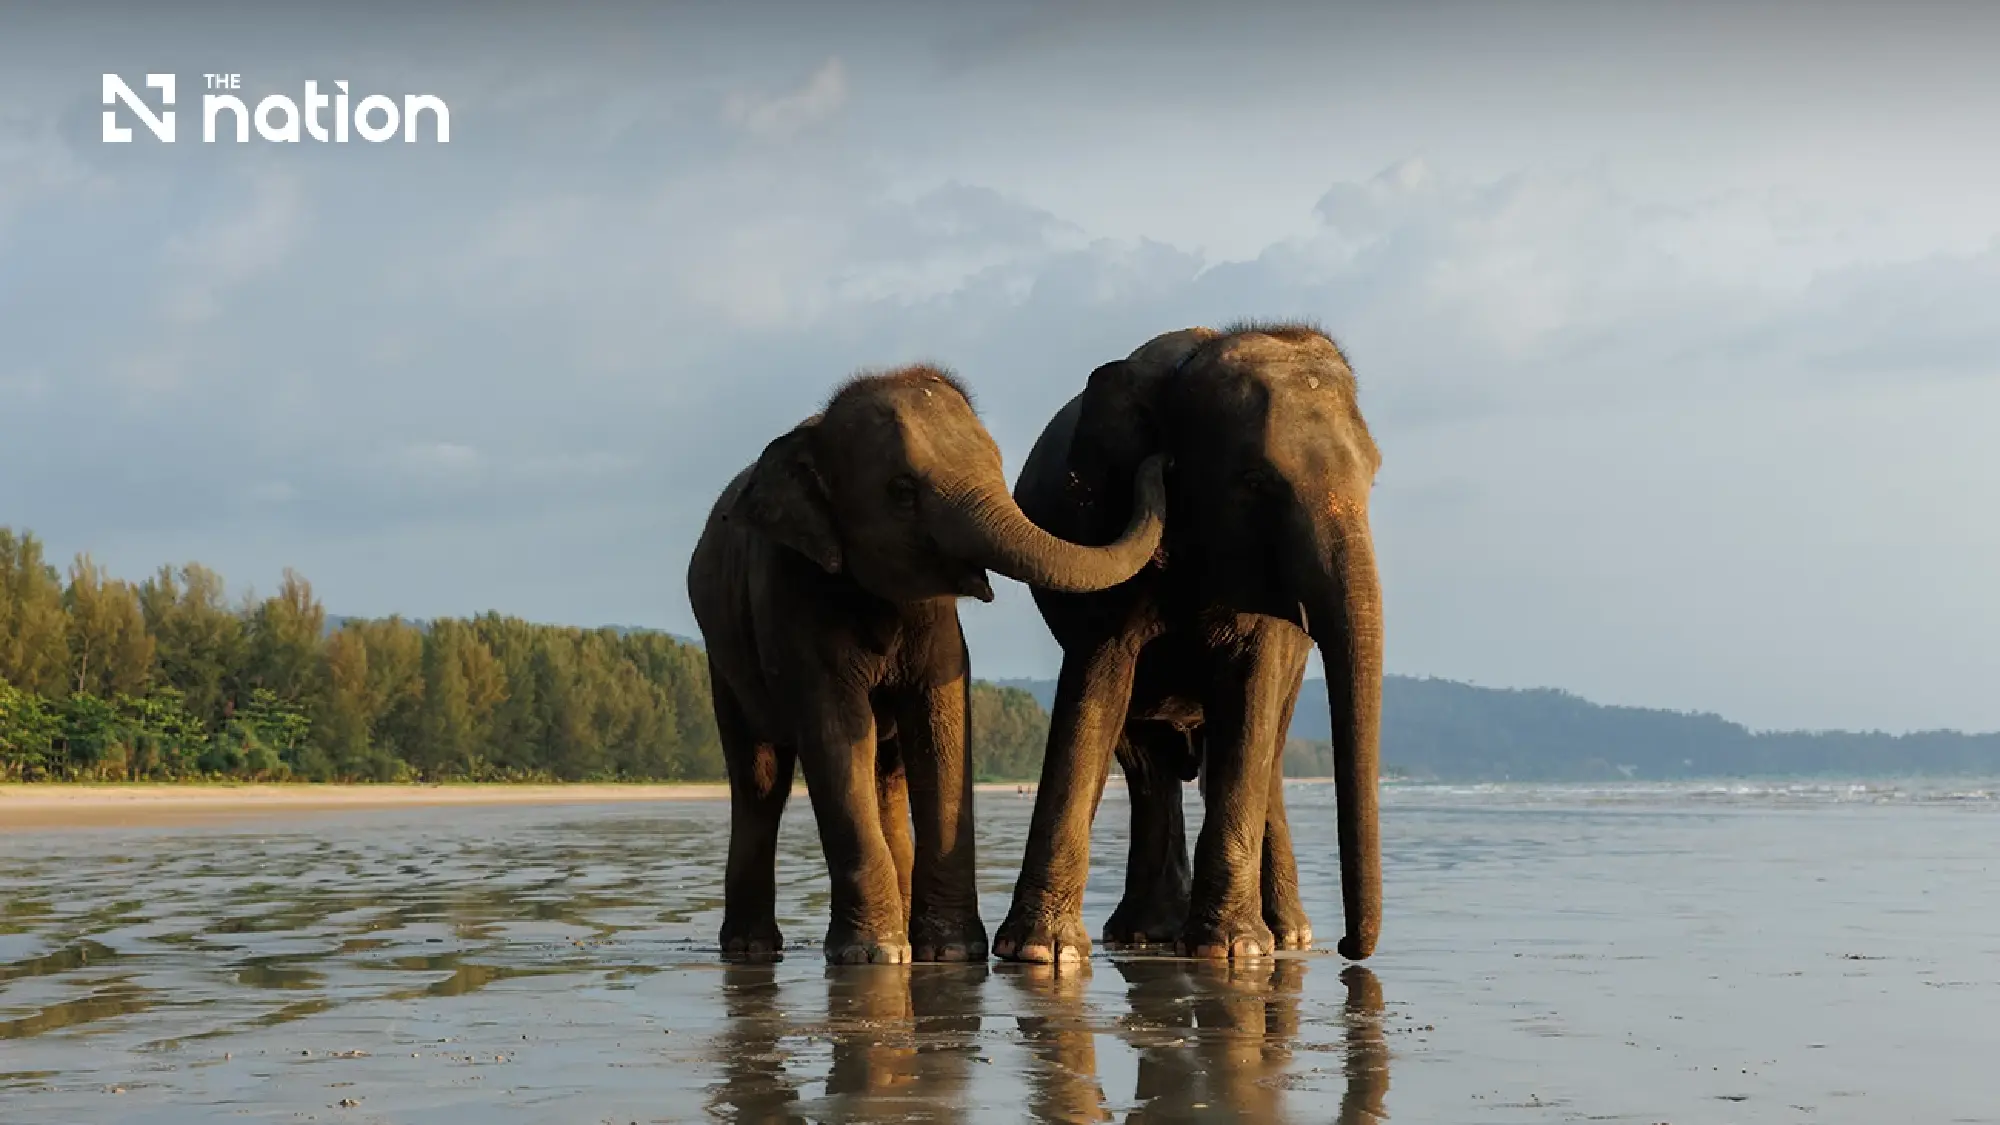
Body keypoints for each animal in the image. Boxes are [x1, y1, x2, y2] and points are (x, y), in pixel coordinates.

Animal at [686, 363, 1169, 966]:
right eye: (902, 492)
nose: (1161, 463)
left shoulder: (936, 622)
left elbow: (940, 723)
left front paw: (952, 953)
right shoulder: (791, 594)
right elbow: (834, 729)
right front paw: (873, 955)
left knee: (884, 775)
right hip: (724, 662)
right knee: (759, 778)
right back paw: (751, 947)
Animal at [992, 322, 1384, 964]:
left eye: (1374, 476)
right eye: (1255, 482)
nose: (1353, 947)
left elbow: (1251, 702)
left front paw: (1232, 948)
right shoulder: (1104, 534)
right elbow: (1096, 688)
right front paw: (1038, 952)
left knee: (1267, 751)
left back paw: (1285, 936)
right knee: (1145, 760)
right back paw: (1147, 934)